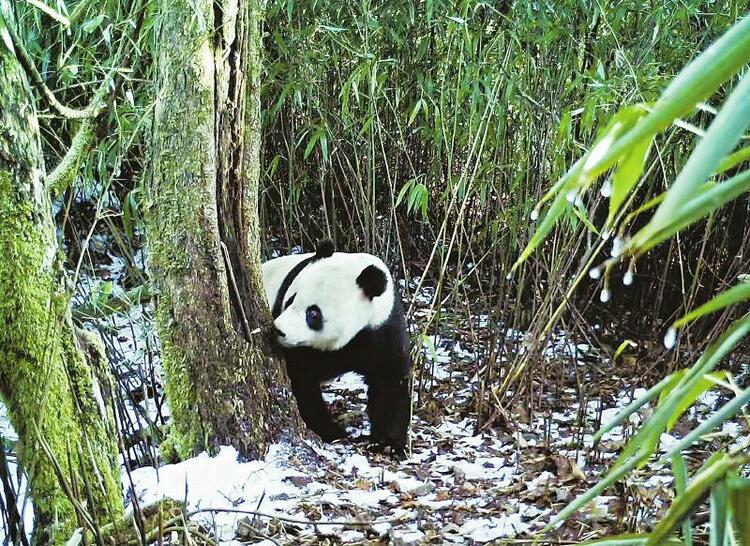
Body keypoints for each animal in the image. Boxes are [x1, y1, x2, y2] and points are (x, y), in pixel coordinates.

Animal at [262, 239, 414, 454]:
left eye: (313, 313)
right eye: (290, 300)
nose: (279, 331)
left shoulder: (383, 327)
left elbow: (389, 382)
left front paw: (387, 443)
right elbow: (302, 381)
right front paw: (332, 431)